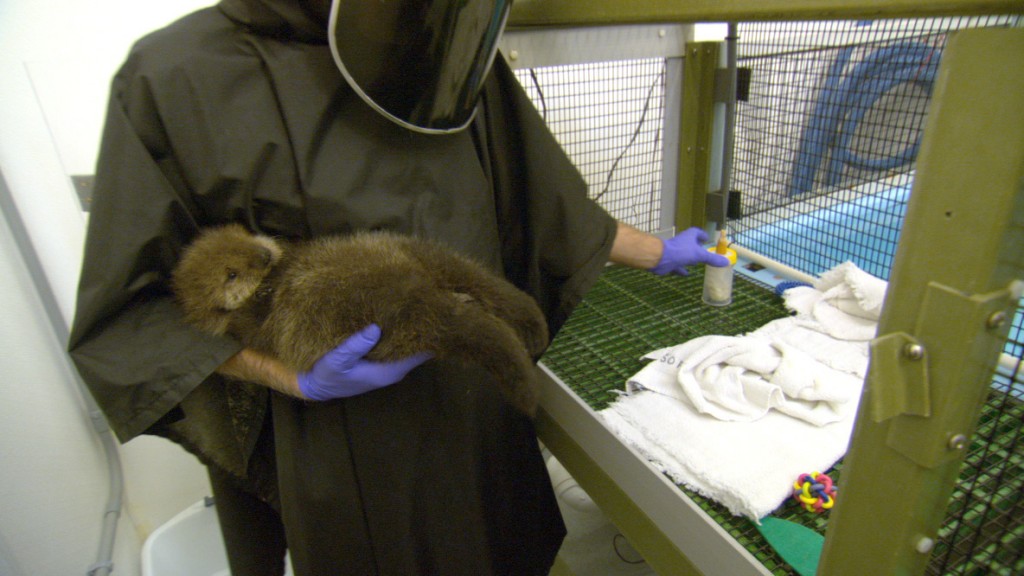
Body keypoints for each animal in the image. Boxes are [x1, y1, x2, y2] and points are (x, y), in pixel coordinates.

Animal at [171, 224, 549, 416]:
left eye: (247, 237)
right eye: (231, 274)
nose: (263, 255)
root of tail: (420, 284)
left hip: (419, 266)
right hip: (414, 298)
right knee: (477, 302)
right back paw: (530, 331)